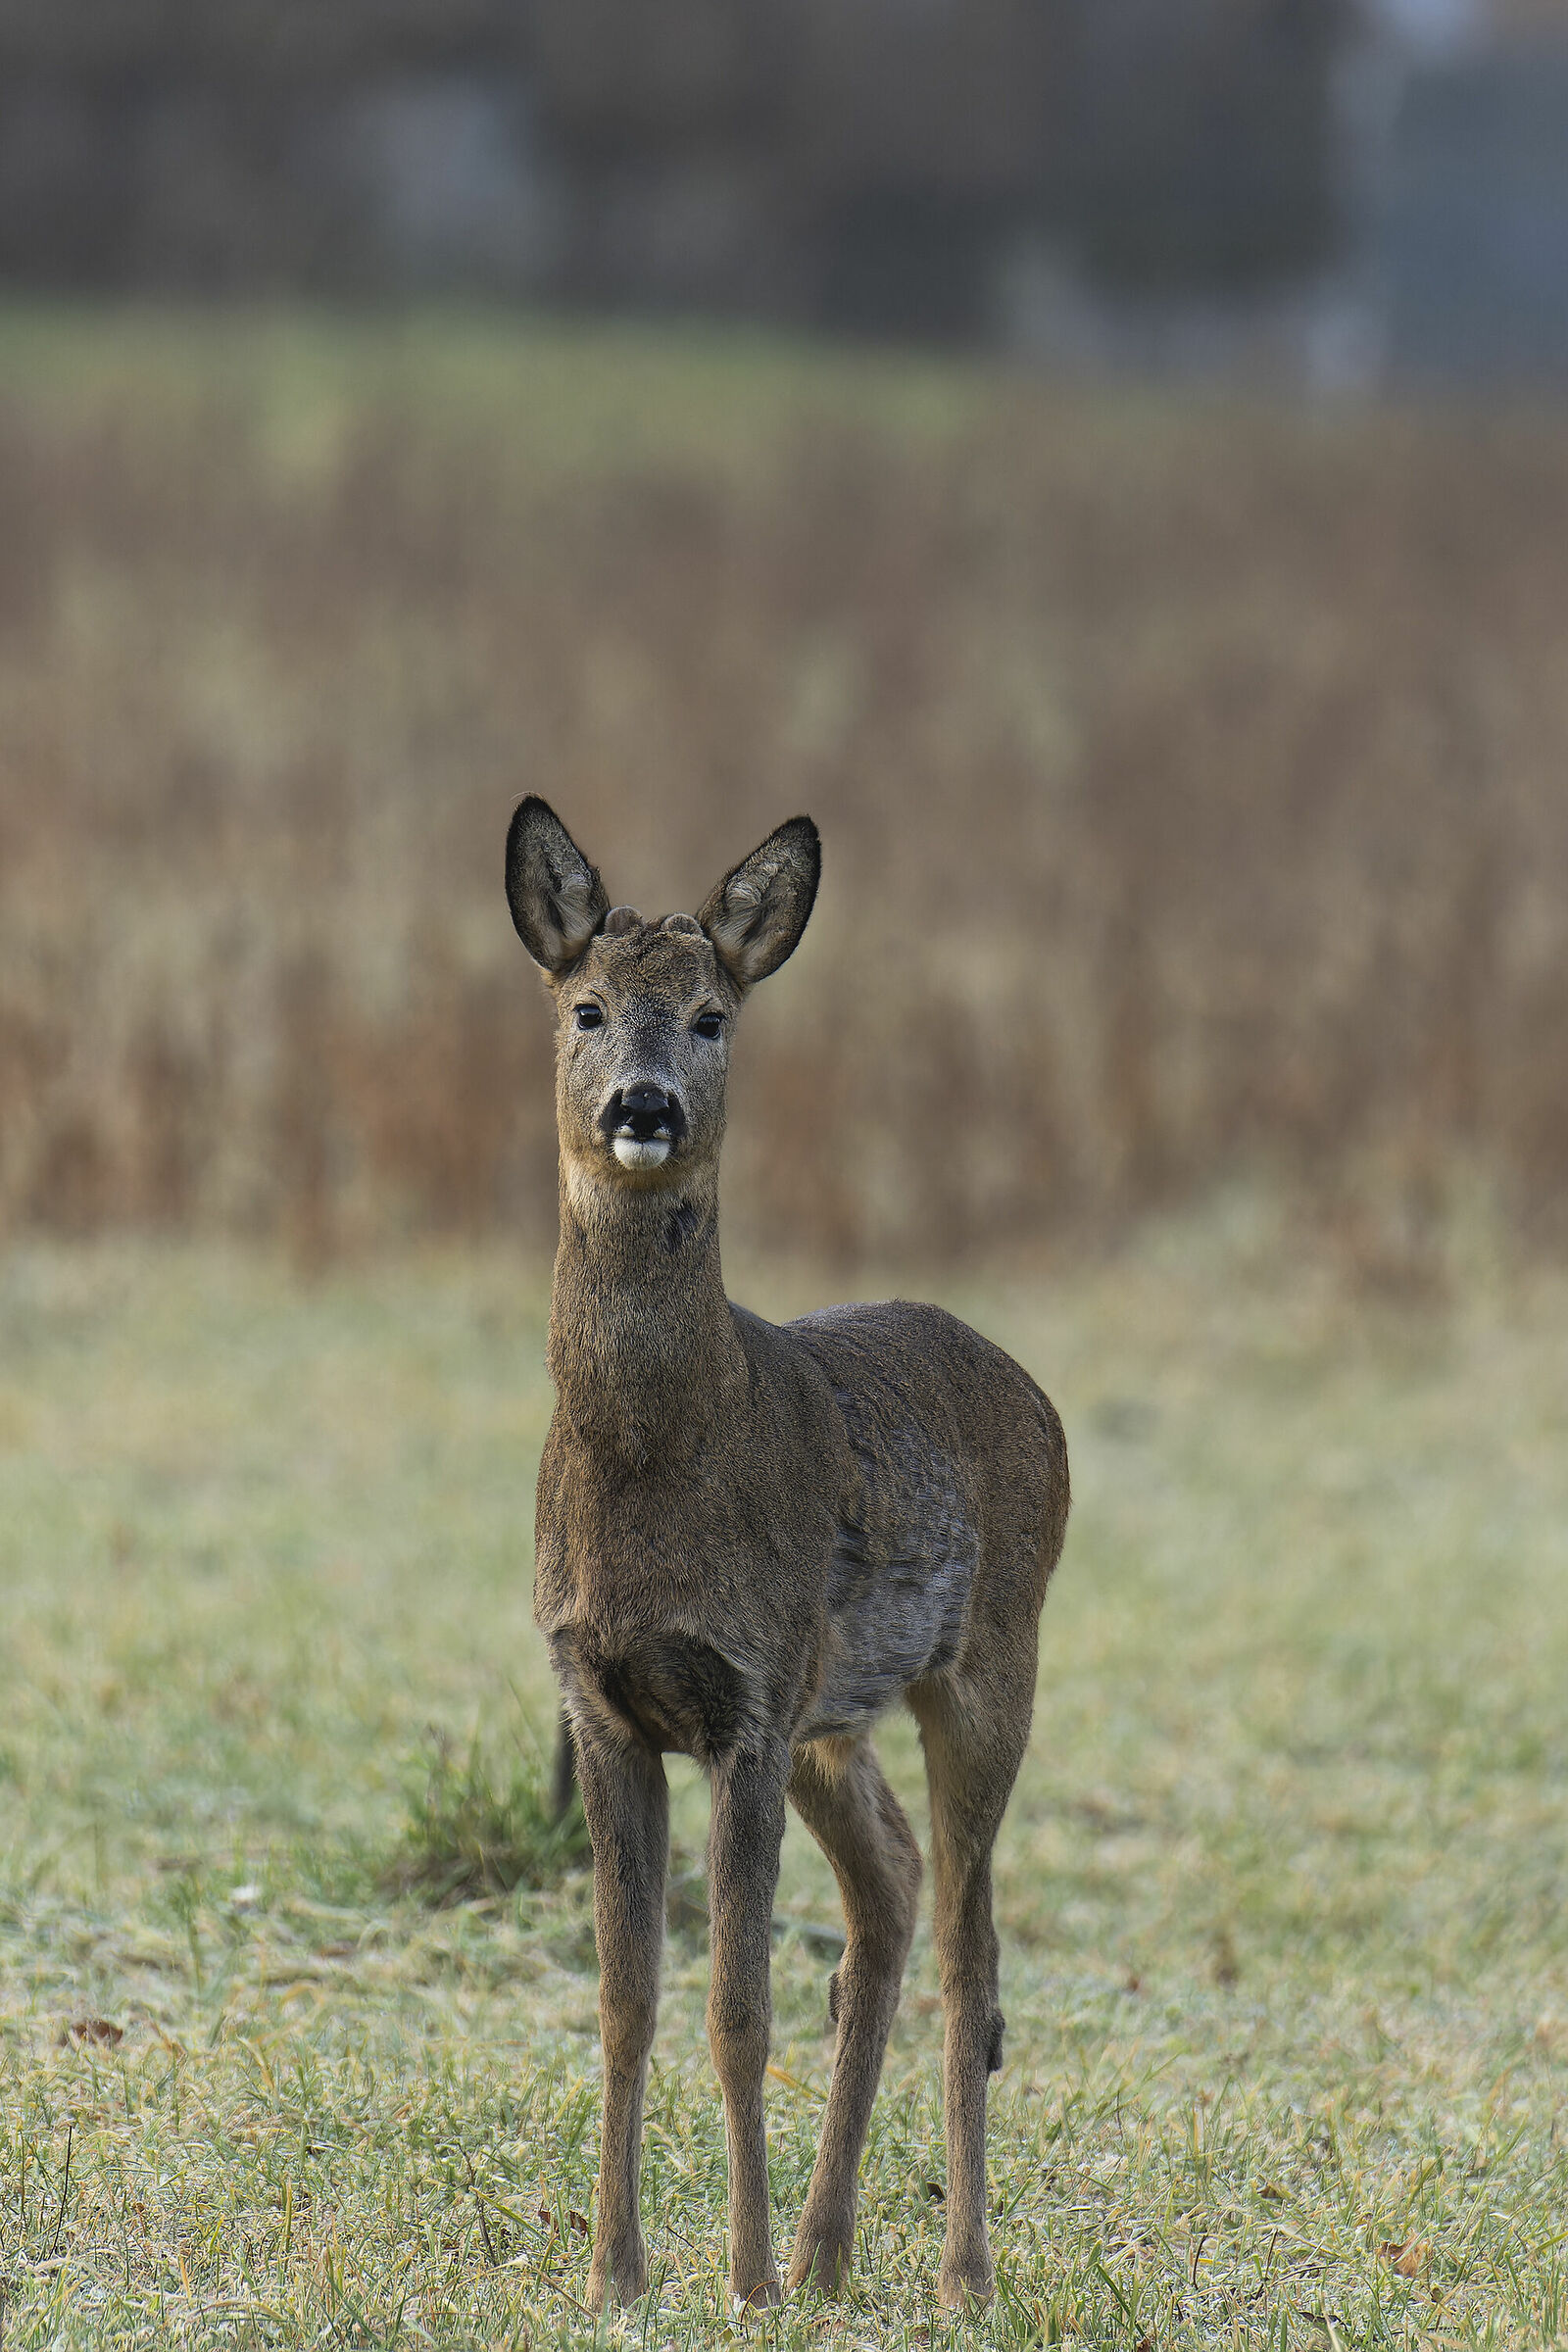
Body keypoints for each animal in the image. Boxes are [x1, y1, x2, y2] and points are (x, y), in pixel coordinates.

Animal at [505, 797, 1070, 2313]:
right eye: (584, 1007)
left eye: (712, 1017)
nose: (644, 1107)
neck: (656, 1464)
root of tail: (1033, 1389)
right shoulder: (601, 1699)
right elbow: (624, 1996)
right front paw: (616, 2275)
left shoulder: (749, 1698)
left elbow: (737, 2007)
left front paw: (739, 2278)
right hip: (840, 1713)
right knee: (889, 1892)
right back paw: (831, 2253)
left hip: (990, 1660)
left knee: (972, 1949)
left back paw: (958, 2271)